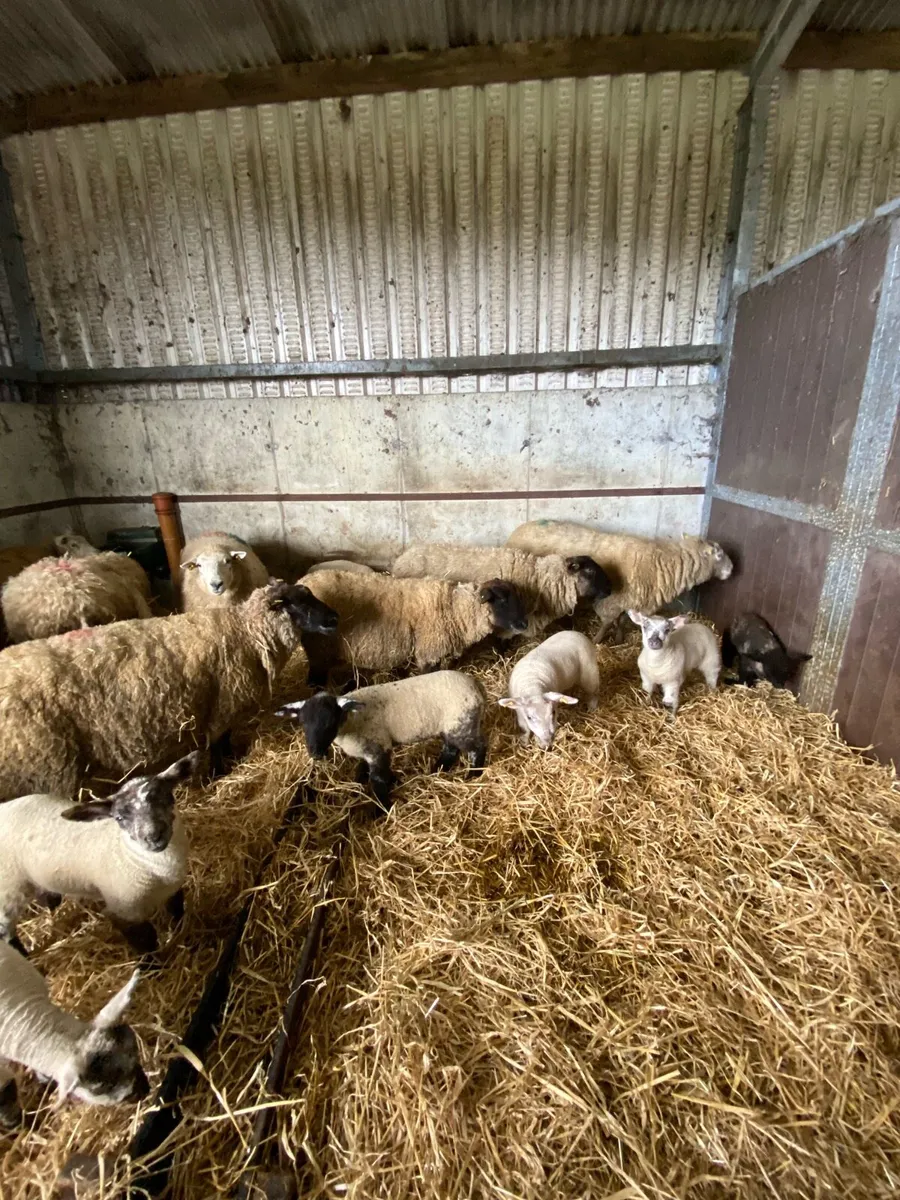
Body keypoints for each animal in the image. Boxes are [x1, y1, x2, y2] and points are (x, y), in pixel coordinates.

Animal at [0, 581, 339, 802]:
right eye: (299, 603)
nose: (334, 618)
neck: (246, 633)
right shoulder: (222, 706)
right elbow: (219, 744)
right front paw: (222, 771)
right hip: (49, 767)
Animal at [0, 752, 199, 956]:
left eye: (166, 797)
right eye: (119, 818)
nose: (153, 836)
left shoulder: (173, 891)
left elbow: (178, 915)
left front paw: (184, 941)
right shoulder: (123, 911)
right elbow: (145, 941)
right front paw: (153, 963)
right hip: (8, 888)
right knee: (6, 931)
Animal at [278, 671, 487, 807]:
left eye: (330, 721)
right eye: (302, 723)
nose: (315, 753)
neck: (352, 721)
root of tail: (476, 686)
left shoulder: (379, 746)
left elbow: (378, 778)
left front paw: (383, 807)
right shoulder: (368, 749)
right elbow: (367, 770)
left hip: (462, 723)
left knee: (478, 748)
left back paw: (474, 775)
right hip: (450, 724)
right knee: (451, 749)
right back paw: (439, 769)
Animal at [298, 570, 528, 687]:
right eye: (501, 600)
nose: (524, 624)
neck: (455, 609)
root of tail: (303, 579)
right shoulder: (428, 654)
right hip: (319, 650)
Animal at [506, 520, 733, 641]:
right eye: (719, 554)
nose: (732, 569)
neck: (662, 563)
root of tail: (518, 530)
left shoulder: (630, 600)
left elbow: (622, 621)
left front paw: (619, 639)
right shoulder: (612, 601)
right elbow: (608, 622)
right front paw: (597, 641)